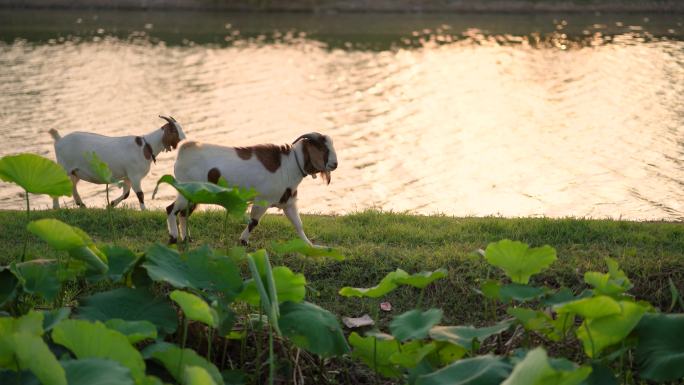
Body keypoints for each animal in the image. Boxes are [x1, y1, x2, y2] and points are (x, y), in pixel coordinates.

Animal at [49, 115, 186, 208]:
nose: (185, 139)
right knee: (56, 183)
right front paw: (144, 210)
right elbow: (140, 195)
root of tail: (59, 140)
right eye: (174, 131)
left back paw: (81, 204)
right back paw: (57, 208)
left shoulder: (128, 177)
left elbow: (126, 194)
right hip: (64, 167)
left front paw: (111, 204)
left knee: (72, 184)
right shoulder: (134, 176)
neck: (146, 147)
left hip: (75, 171)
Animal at [164, 132, 340, 244]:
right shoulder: (263, 200)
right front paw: (243, 241)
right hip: (186, 189)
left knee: (183, 214)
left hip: (195, 194)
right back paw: (173, 237)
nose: (335, 164)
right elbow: (254, 221)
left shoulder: (288, 203)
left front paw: (310, 246)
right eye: (322, 148)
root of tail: (184, 150)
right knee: (171, 209)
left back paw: (186, 238)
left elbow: (298, 225)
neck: (288, 165)